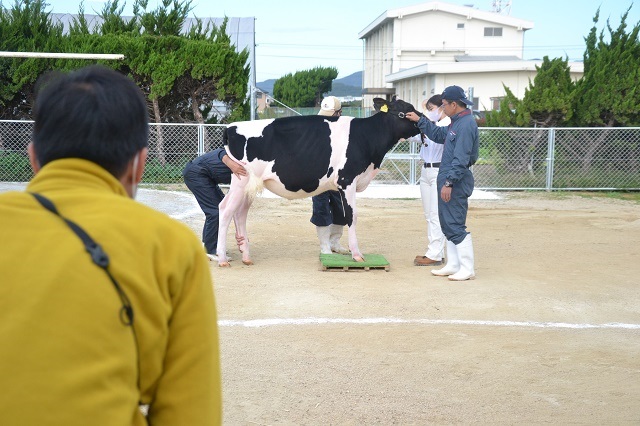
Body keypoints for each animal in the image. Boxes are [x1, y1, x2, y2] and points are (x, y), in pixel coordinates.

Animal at [218, 99, 422, 266]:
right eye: (407, 111)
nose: (423, 122)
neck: (367, 137)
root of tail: (231, 127)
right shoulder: (347, 180)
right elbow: (352, 216)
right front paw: (357, 255)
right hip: (241, 179)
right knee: (226, 209)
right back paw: (222, 258)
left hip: (249, 184)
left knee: (240, 213)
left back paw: (246, 256)